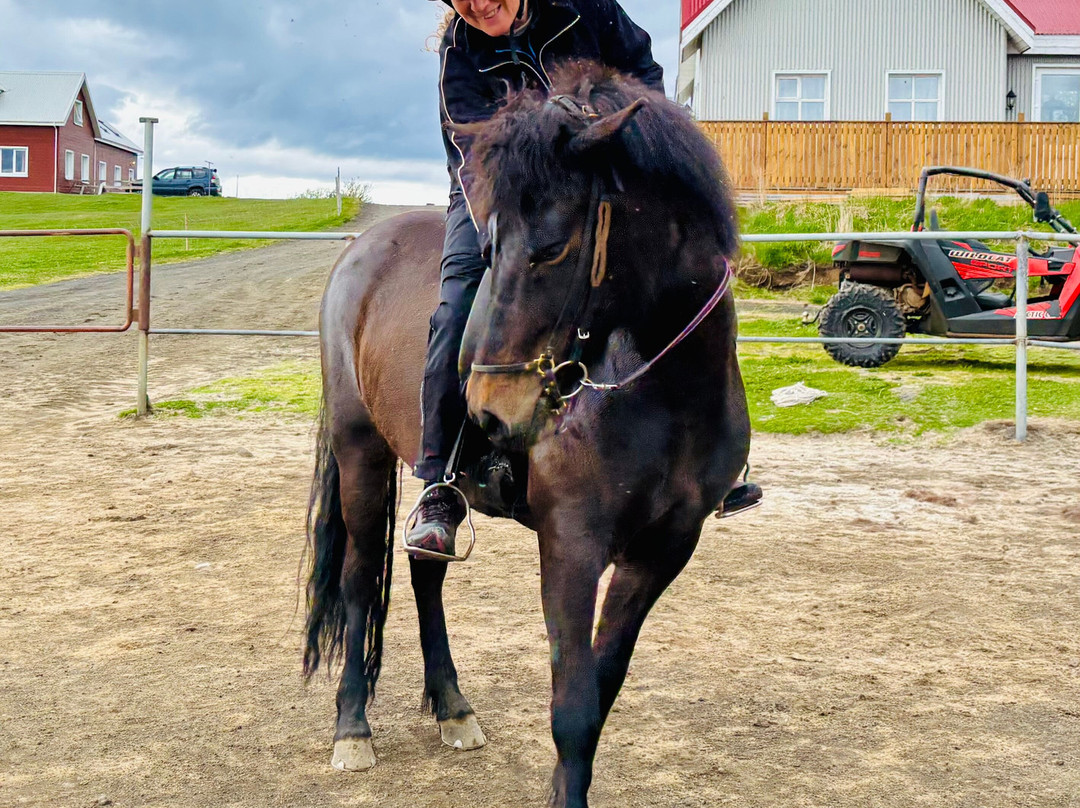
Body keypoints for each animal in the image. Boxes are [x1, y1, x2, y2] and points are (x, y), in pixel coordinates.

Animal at [303, 60, 750, 808]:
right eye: (489, 246)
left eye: (553, 246)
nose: (488, 410)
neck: (666, 392)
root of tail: (358, 253)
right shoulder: (571, 544)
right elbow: (571, 706)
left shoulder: (662, 551)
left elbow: (600, 692)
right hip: (360, 451)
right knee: (360, 578)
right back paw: (351, 727)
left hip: (435, 488)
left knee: (425, 566)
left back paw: (453, 707)